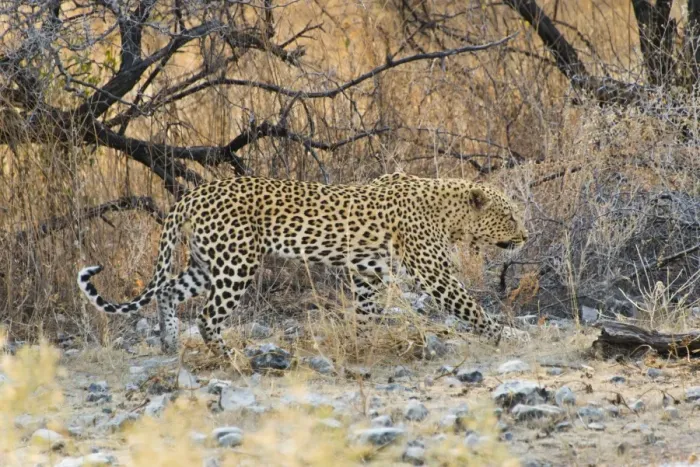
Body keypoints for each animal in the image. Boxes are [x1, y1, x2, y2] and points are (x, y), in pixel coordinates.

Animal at [77, 172, 529, 357]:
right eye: (510, 216)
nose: (525, 236)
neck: (450, 211)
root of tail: (194, 194)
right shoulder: (434, 273)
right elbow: (471, 307)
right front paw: (507, 336)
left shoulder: (369, 272)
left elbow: (367, 311)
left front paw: (361, 344)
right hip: (236, 264)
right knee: (207, 316)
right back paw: (231, 357)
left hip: (209, 262)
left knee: (170, 290)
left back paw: (170, 342)